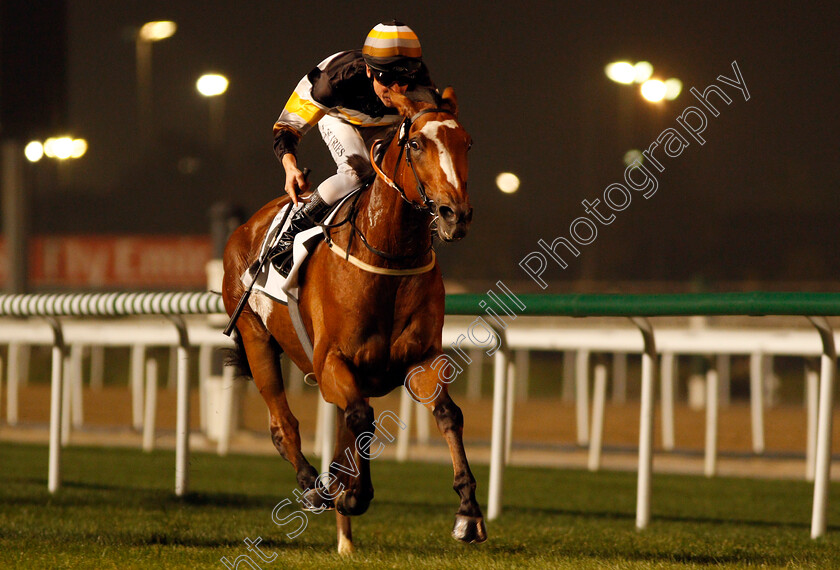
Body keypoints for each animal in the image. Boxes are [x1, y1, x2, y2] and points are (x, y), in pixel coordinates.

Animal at [221, 87, 486, 552]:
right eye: (417, 144)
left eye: (466, 143)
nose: (456, 214)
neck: (389, 254)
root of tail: (246, 228)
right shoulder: (331, 363)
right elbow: (362, 418)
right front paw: (353, 495)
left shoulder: (420, 359)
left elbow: (448, 414)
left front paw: (468, 513)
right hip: (256, 338)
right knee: (283, 424)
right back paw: (314, 486)